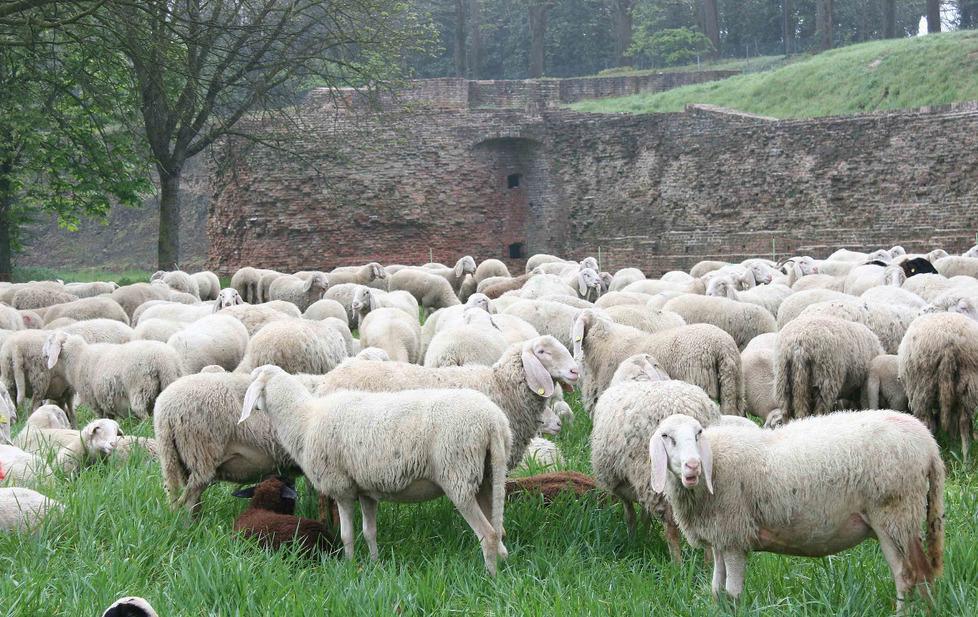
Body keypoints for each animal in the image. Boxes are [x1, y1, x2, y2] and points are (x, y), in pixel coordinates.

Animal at [43, 332, 182, 420]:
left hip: (140, 387)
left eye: (50, 341)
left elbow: (101, 416)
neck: (78, 357)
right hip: (167, 383)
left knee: (141, 412)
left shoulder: (93, 400)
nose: (43, 354)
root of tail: (164, 361)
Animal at [239, 367, 512, 574]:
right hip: (487, 477)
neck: (305, 420)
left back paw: (490, 577)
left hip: (458, 475)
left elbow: (347, 535)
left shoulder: (341, 487)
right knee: (499, 530)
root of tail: (493, 422)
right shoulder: (366, 491)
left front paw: (349, 568)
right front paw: (374, 565)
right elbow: (369, 531)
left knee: (488, 534)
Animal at [591, 359, 719, 561]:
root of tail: (684, 407)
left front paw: (633, 540)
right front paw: (645, 535)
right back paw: (708, 562)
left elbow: (630, 516)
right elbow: (643, 515)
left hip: (654, 474)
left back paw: (676, 563)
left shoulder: (623, 484)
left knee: (671, 524)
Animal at [650, 410, 944, 610]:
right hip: (902, 517)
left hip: (893, 512)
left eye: (698, 433)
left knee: (907, 575)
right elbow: (716, 590)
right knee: (923, 574)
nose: (693, 466)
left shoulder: (735, 537)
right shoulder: (722, 535)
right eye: (666, 436)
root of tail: (929, 443)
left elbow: (733, 593)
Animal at [898, 311, 978, 461]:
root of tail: (948, 343)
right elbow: (953, 422)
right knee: (963, 422)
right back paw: (966, 459)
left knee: (927, 422)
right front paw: (953, 445)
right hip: (969, 380)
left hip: (922, 386)